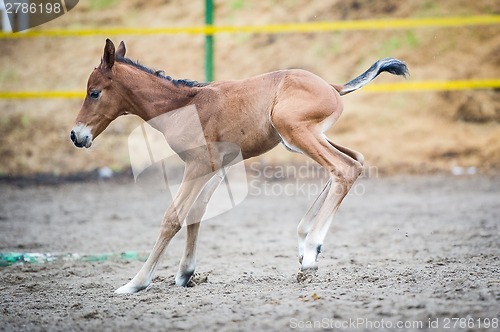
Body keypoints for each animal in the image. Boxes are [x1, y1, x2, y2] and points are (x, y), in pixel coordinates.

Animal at [69, 39, 406, 294]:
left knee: (344, 168)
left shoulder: (197, 164)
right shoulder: (218, 166)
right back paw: (303, 242)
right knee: (355, 160)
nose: (76, 135)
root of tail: (332, 86)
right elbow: (196, 212)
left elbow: (172, 218)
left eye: (94, 92)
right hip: (302, 138)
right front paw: (185, 273)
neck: (182, 106)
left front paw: (135, 283)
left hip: (295, 132)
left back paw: (311, 251)